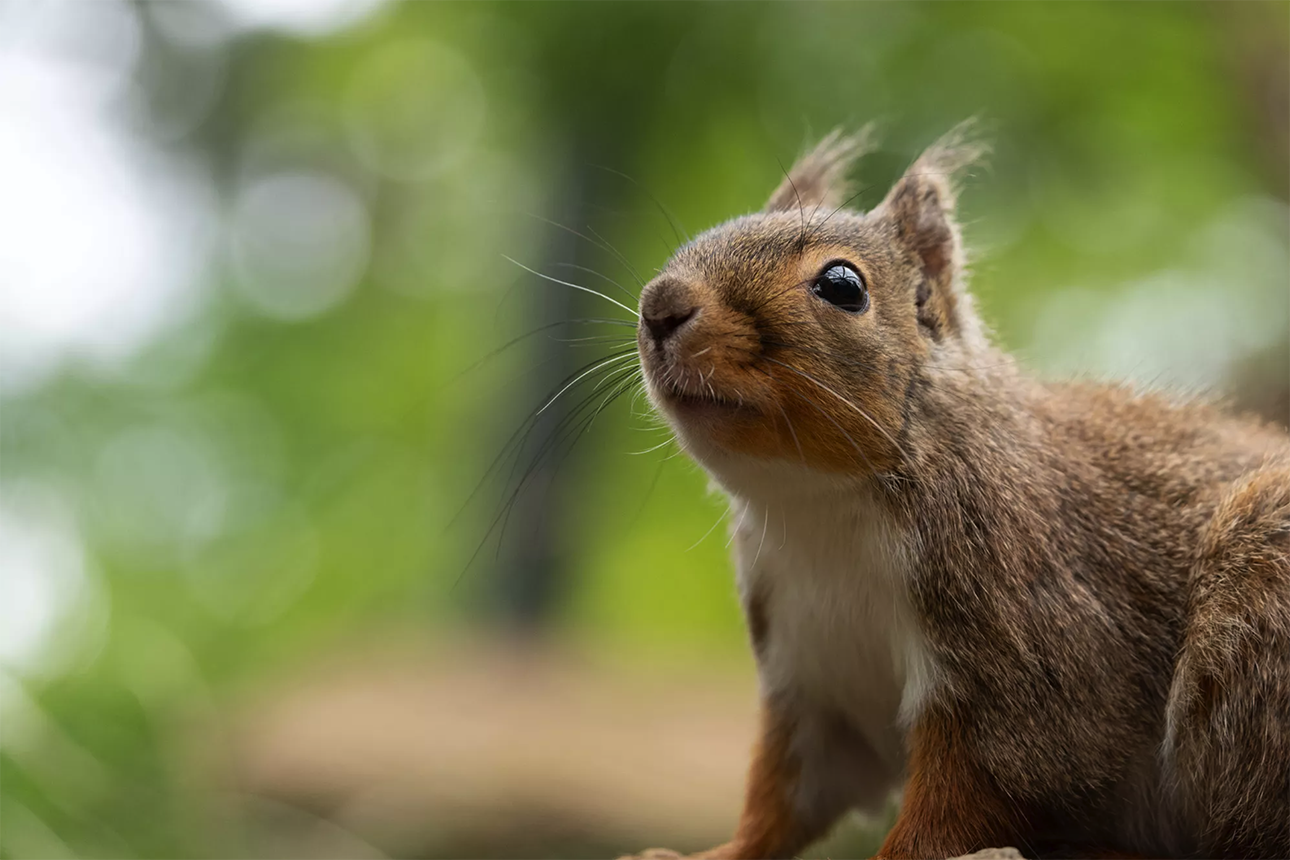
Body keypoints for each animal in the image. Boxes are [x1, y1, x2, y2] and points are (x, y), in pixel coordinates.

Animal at [611, 126, 1290, 860]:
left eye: (842, 285)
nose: (660, 305)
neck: (822, 507)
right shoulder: (813, 674)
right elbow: (788, 794)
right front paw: (716, 852)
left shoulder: (1024, 656)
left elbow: (970, 793)